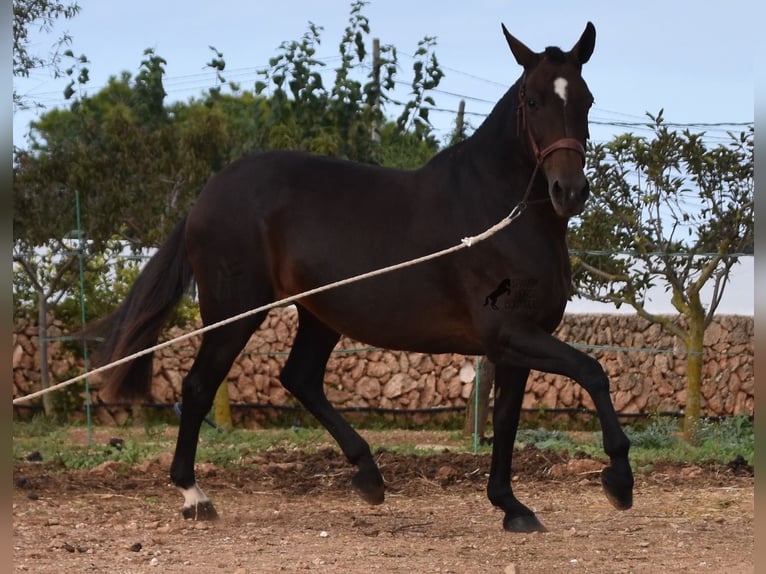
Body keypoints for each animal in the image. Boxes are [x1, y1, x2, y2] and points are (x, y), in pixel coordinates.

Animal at [93, 22, 636, 536]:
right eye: (534, 100)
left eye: (586, 99)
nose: (570, 191)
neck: (498, 211)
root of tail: (206, 195)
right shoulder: (510, 334)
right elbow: (592, 371)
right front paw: (619, 481)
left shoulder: (516, 343)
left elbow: (506, 421)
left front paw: (512, 507)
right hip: (233, 312)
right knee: (200, 385)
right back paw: (194, 495)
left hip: (319, 314)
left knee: (299, 378)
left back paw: (369, 476)